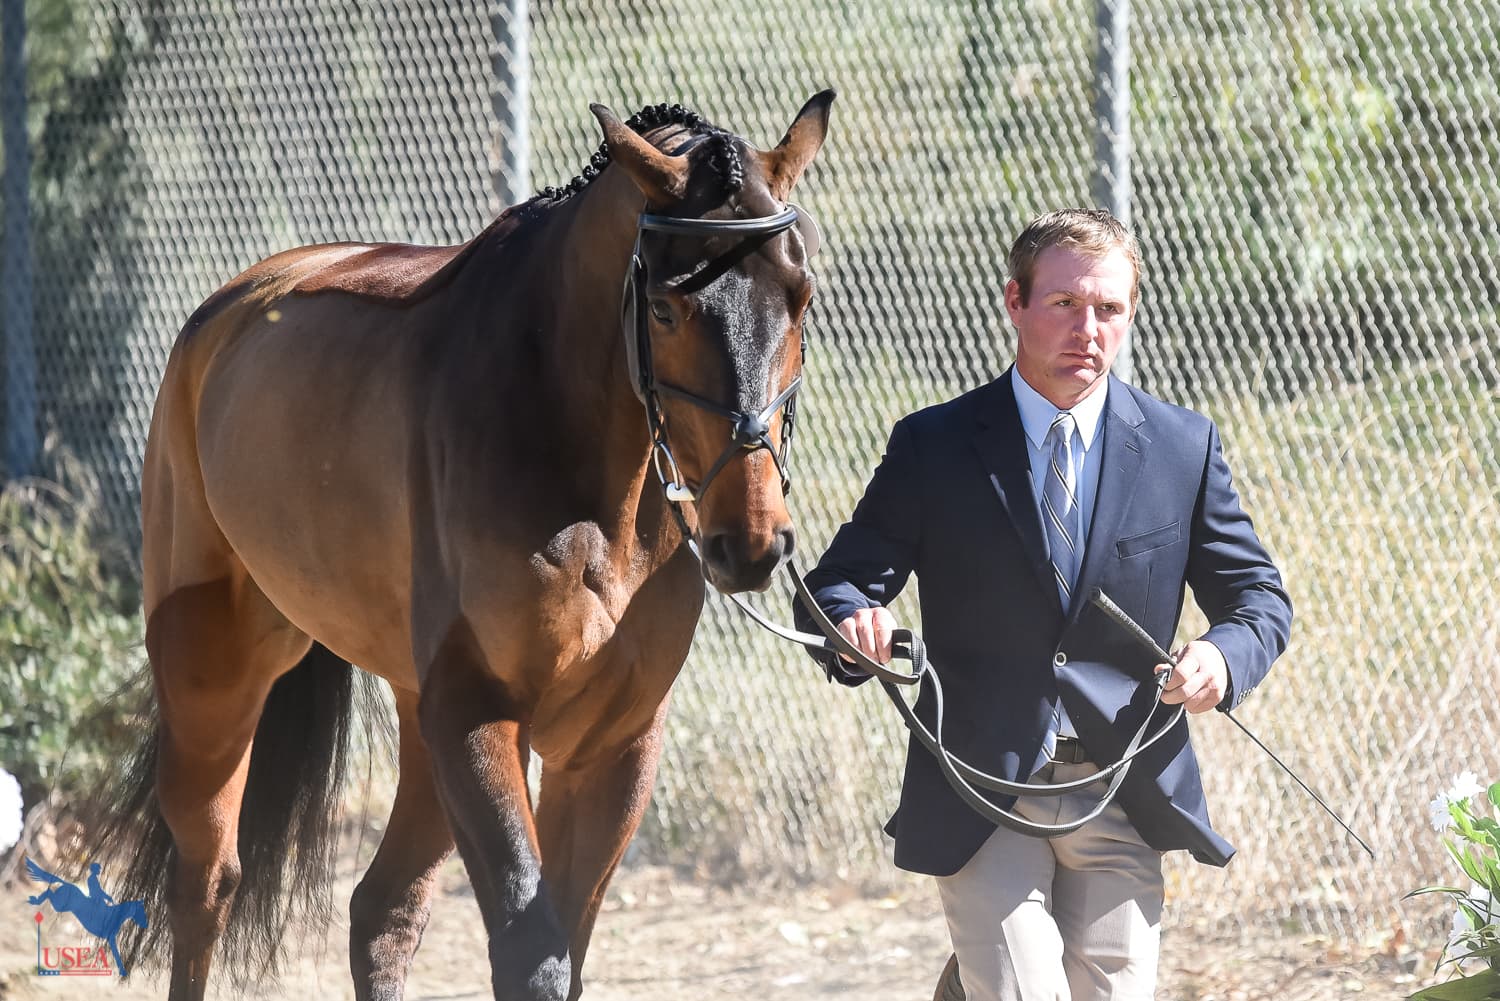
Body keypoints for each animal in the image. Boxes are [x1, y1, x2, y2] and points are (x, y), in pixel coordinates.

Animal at [97, 91, 833, 1001]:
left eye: (801, 296)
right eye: (666, 309)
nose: (751, 541)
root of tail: (229, 308)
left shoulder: (612, 746)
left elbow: (565, 946)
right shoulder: (479, 716)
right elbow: (534, 954)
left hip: (421, 721)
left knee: (382, 908)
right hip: (215, 676)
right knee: (206, 885)